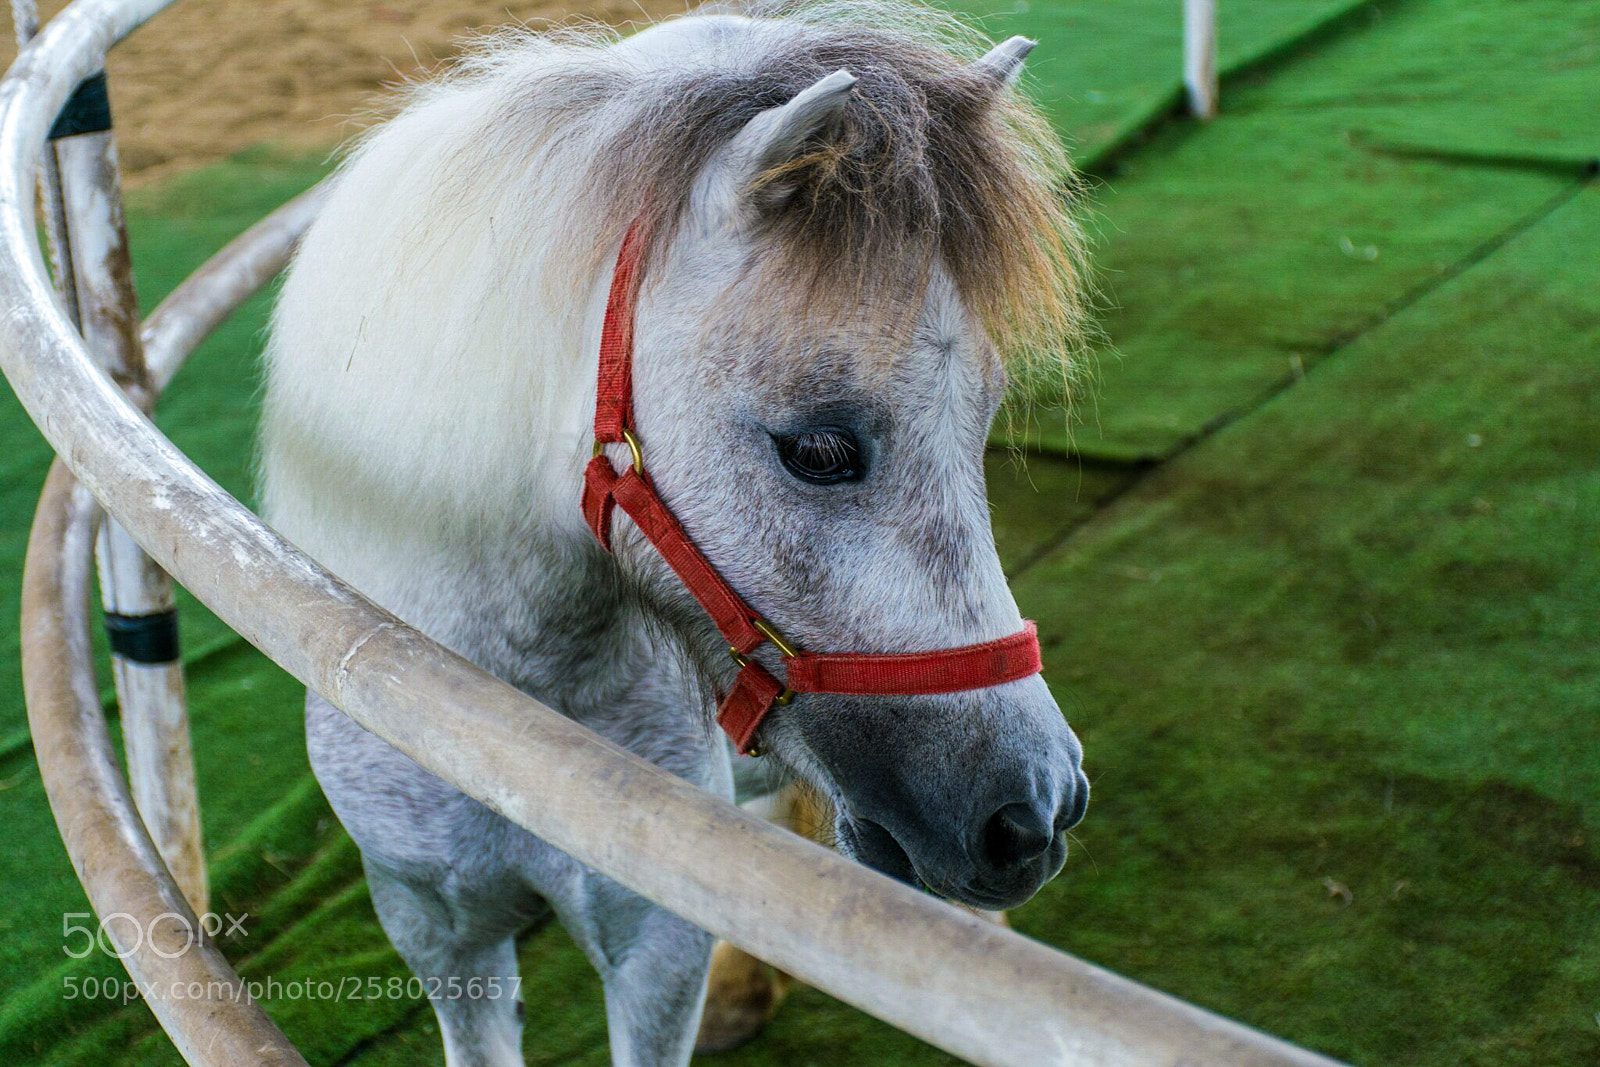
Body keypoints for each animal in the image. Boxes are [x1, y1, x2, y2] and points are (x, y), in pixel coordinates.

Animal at [258, 2, 1091, 1063]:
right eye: (819, 448)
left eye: (986, 420)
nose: (1037, 812)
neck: (487, 703)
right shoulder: (436, 931)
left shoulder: (653, 938)